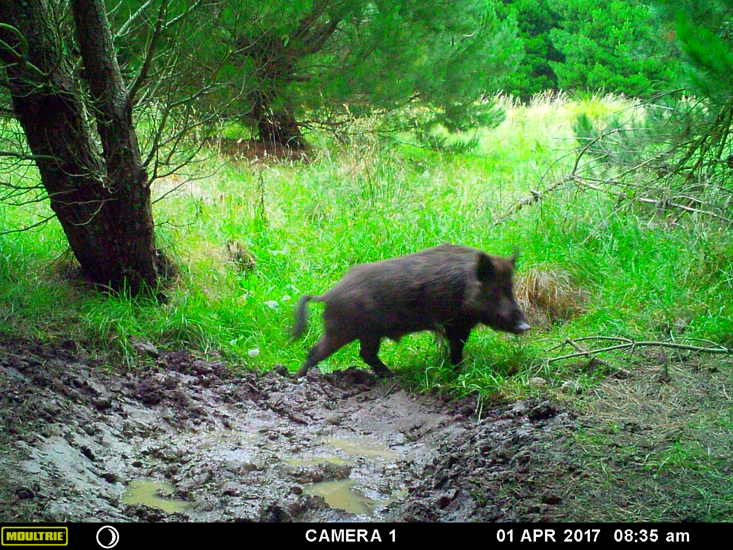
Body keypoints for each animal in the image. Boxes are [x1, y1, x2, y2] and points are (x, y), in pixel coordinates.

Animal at [292, 244, 530, 377]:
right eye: (493, 291)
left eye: (511, 288)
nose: (525, 326)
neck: (464, 288)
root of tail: (328, 294)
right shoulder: (453, 323)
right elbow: (455, 348)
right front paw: (457, 372)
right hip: (342, 329)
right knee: (316, 351)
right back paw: (298, 377)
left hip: (369, 333)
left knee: (366, 354)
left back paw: (390, 374)